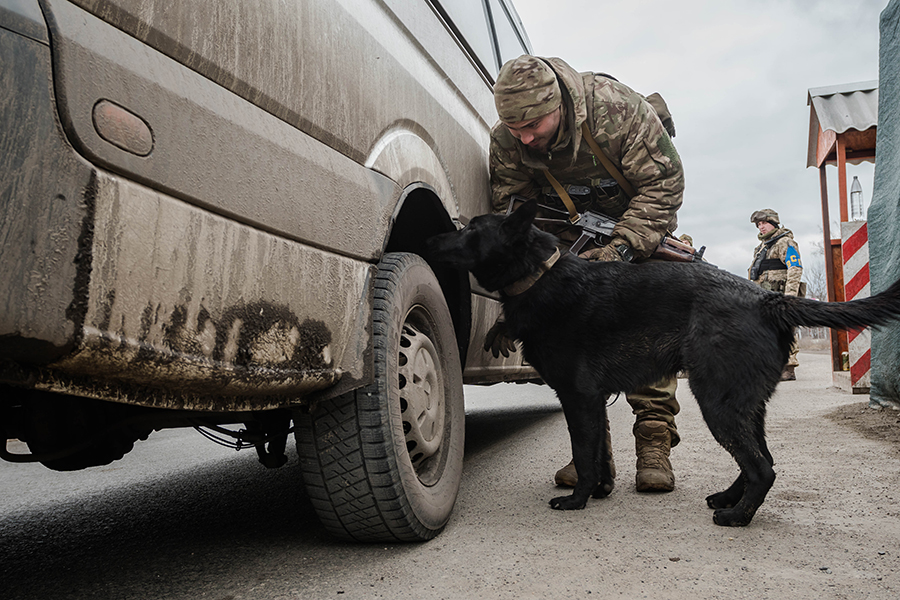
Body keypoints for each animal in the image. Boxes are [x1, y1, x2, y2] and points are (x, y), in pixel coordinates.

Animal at [426, 200, 900, 524]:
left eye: (472, 228)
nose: (433, 235)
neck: (540, 275)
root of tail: (769, 299)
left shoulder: (578, 398)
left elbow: (584, 454)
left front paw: (577, 500)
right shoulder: (593, 402)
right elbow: (598, 452)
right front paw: (599, 491)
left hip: (716, 401)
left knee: (762, 467)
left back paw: (737, 517)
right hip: (744, 404)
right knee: (762, 457)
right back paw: (729, 499)